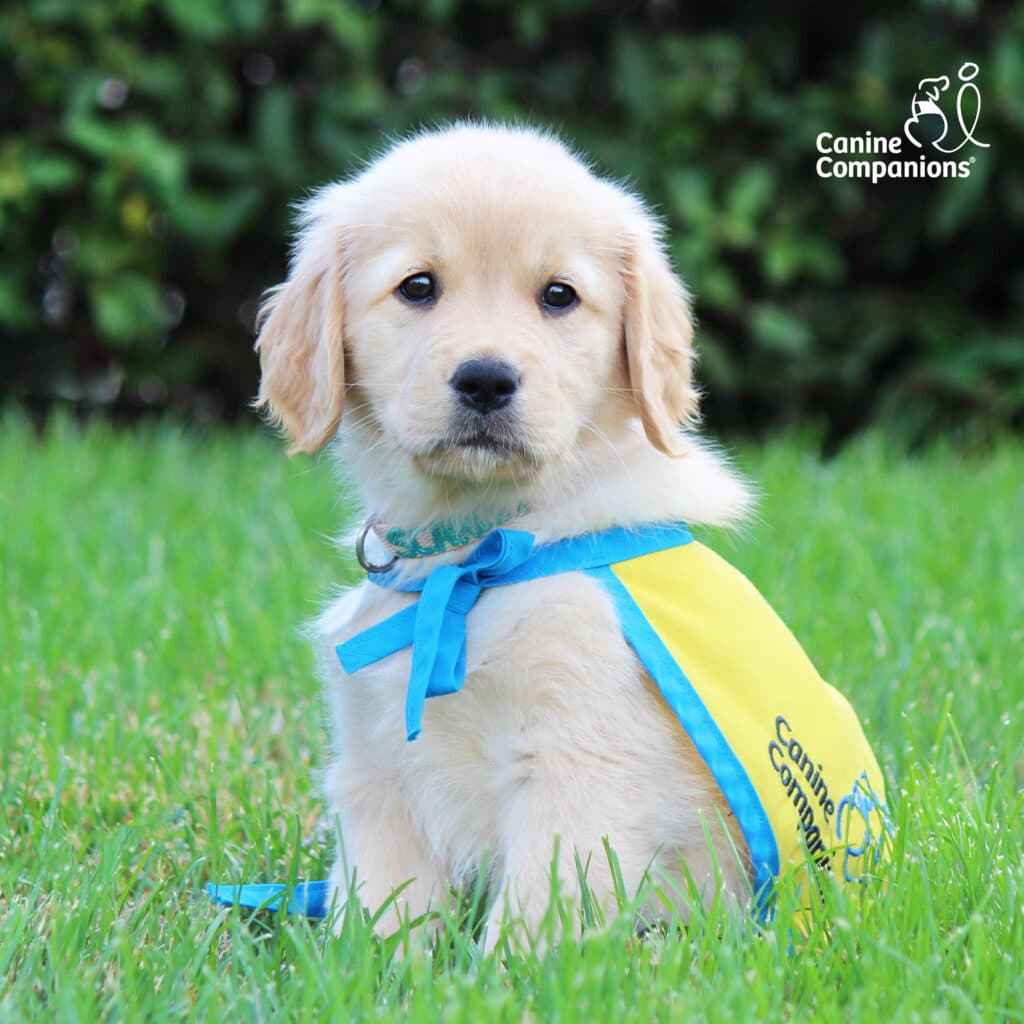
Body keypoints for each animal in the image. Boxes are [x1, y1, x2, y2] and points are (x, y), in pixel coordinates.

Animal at [253, 123, 888, 946]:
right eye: (417, 287)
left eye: (559, 295)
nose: (486, 380)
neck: (479, 553)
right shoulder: (377, 767)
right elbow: (383, 911)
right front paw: (374, 965)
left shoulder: (580, 765)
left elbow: (532, 919)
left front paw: (500, 974)